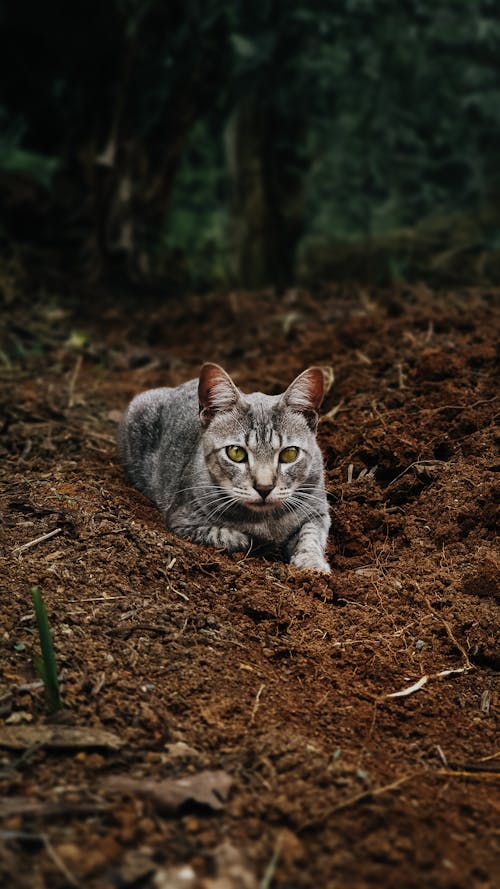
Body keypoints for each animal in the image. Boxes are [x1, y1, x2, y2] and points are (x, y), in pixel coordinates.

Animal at [118, 364, 332, 572]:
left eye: (289, 454)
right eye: (236, 452)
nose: (264, 488)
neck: (266, 520)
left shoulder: (318, 511)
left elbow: (311, 536)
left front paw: (312, 564)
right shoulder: (182, 519)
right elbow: (225, 536)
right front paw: (249, 540)